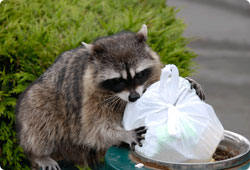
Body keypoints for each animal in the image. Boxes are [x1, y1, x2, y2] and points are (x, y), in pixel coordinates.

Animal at [14, 25, 204, 170]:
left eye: (138, 75)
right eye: (118, 81)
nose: (134, 97)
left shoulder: (152, 73)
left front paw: (188, 82)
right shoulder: (90, 97)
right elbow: (96, 130)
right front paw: (124, 134)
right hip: (39, 99)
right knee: (40, 118)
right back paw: (38, 154)